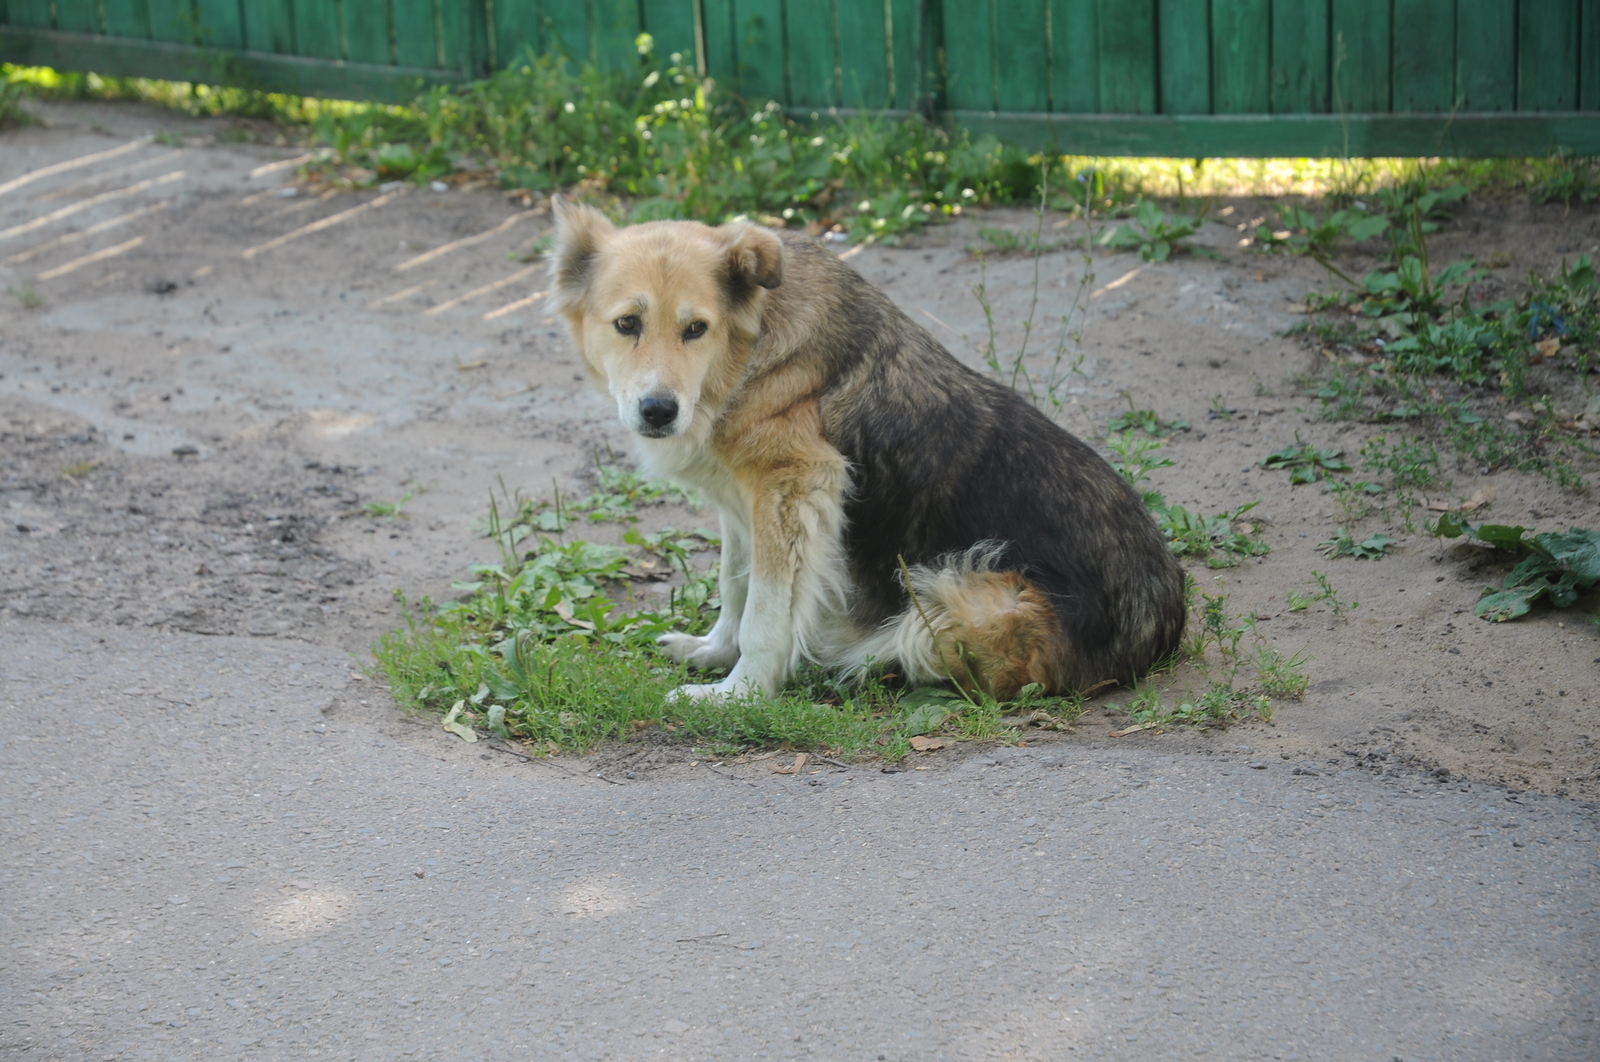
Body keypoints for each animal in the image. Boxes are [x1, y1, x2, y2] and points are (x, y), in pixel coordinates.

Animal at [550, 199, 1190, 700]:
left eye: (696, 328)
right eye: (627, 324)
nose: (659, 411)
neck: (748, 350)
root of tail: (1161, 628)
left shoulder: (795, 487)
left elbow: (766, 611)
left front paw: (741, 693)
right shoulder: (742, 502)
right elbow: (735, 585)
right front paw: (714, 652)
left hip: (966, 597)